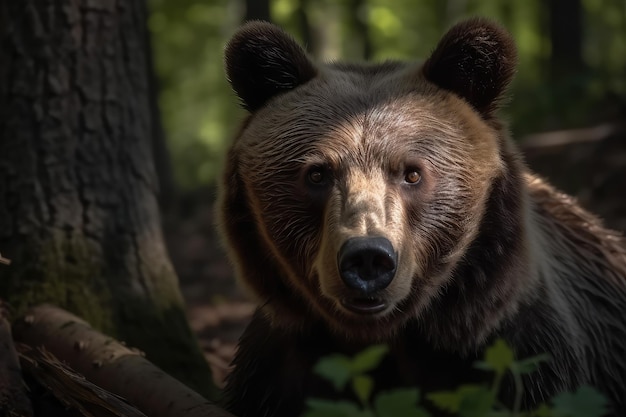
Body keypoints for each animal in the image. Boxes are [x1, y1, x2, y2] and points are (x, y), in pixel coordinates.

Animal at [216, 17, 624, 414]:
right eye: (317, 173)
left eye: (412, 173)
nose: (368, 258)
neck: (388, 335)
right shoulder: (278, 368)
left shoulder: (521, 352)